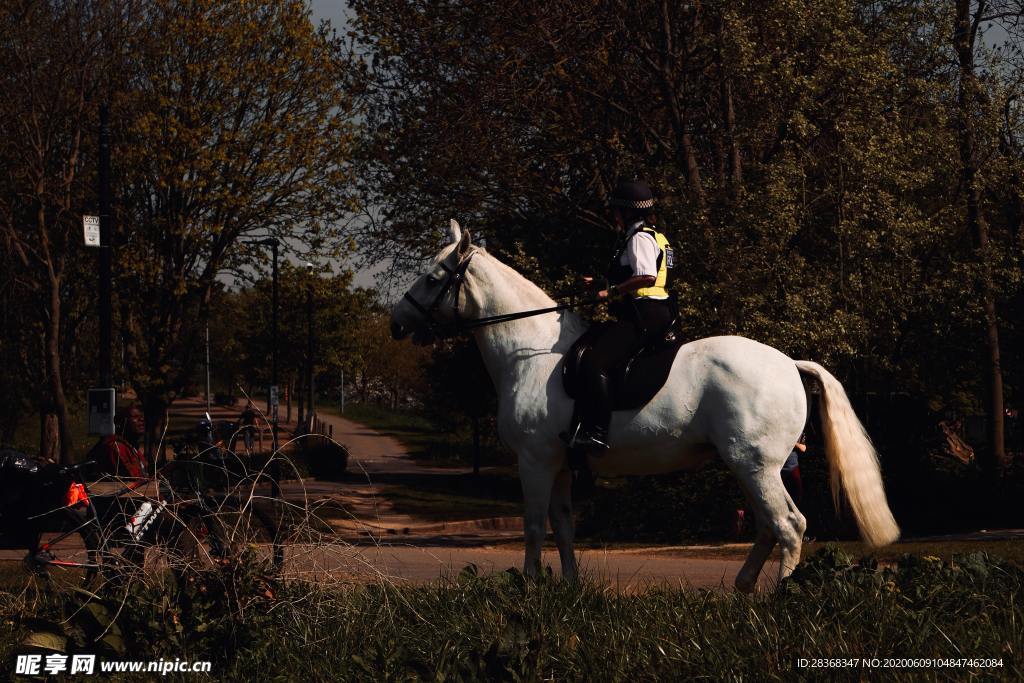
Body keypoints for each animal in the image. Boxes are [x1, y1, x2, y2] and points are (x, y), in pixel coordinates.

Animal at [390, 220, 899, 591]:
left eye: (433, 278)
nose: (396, 322)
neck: (528, 353)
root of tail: (790, 364)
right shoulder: (559, 463)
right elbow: (563, 525)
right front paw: (569, 588)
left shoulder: (534, 460)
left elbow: (534, 525)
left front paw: (528, 588)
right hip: (751, 466)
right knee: (768, 525)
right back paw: (743, 586)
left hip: (755, 465)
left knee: (789, 525)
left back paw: (779, 596)